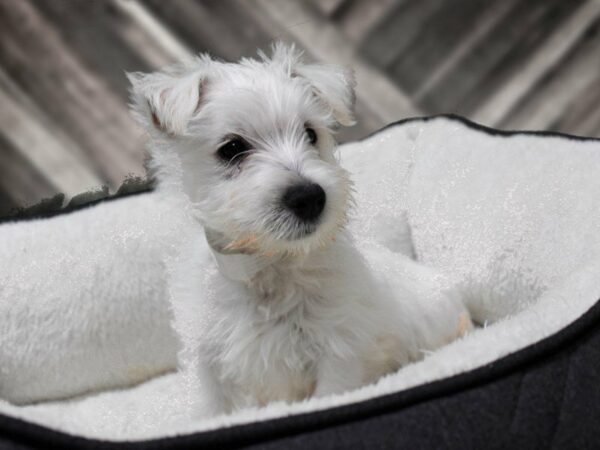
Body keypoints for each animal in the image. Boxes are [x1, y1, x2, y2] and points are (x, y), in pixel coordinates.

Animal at [129, 44, 472, 414]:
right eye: (232, 148)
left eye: (311, 134)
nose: (309, 197)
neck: (269, 264)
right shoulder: (206, 358)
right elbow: (209, 410)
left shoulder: (338, 350)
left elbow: (330, 395)